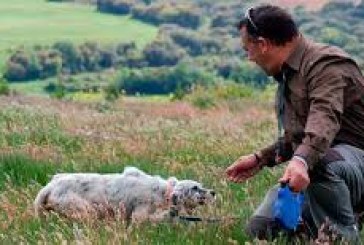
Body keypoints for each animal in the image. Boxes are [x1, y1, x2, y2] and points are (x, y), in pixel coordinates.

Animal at [33, 167, 215, 223]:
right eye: (195, 187)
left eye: (201, 185)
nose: (214, 192)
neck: (164, 192)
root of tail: (49, 186)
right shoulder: (140, 214)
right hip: (82, 209)